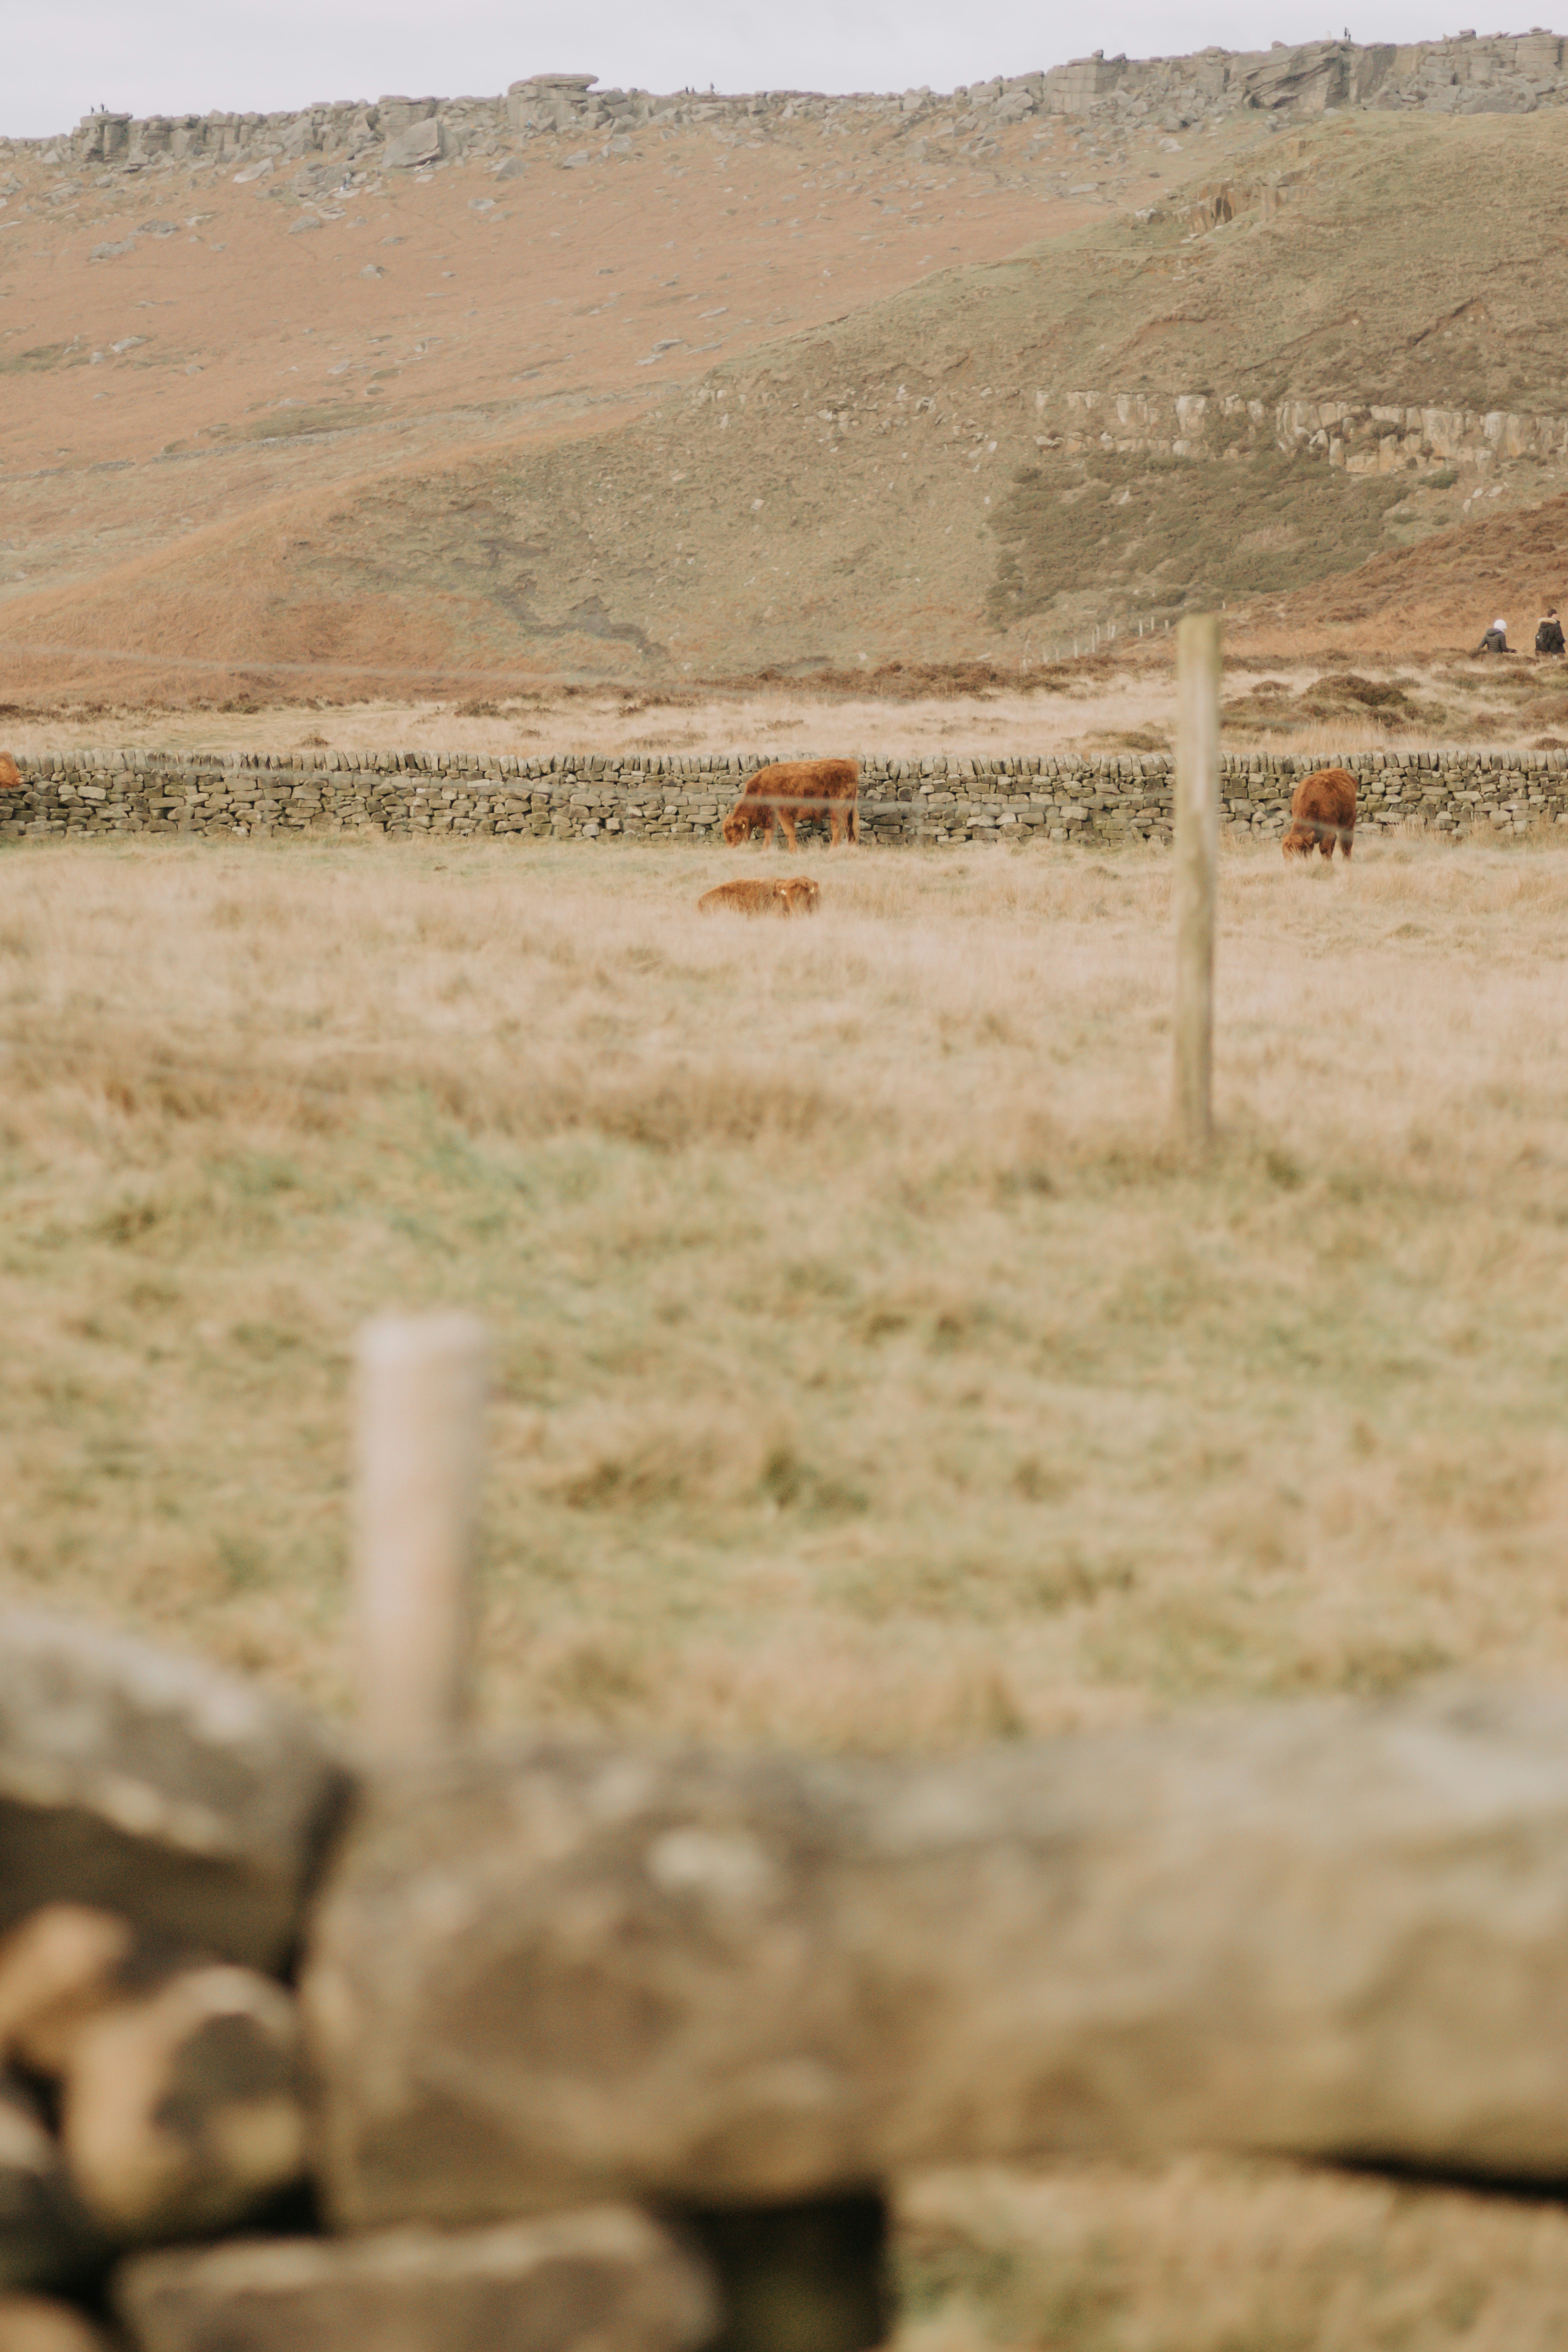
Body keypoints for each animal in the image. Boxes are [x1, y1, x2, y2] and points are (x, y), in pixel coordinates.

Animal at [722, 757, 859, 851]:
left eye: (733, 835)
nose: (730, 850)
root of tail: (848, 763)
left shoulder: (784, 814)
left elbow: (789, 832)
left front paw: (792, 851)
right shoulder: (771, 819)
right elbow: (769, 836)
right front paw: (764, 851)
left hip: (838, 810)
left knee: (838, 829)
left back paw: (832, 851)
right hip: (849, 810)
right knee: (851, 828)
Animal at [1282, 766, 1356, 861]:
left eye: (1298, 854)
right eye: (1284, 856)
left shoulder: (1328, 832)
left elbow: (1325, 849)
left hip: (1349, 822)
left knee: (1346, 844)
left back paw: (1347, 860)